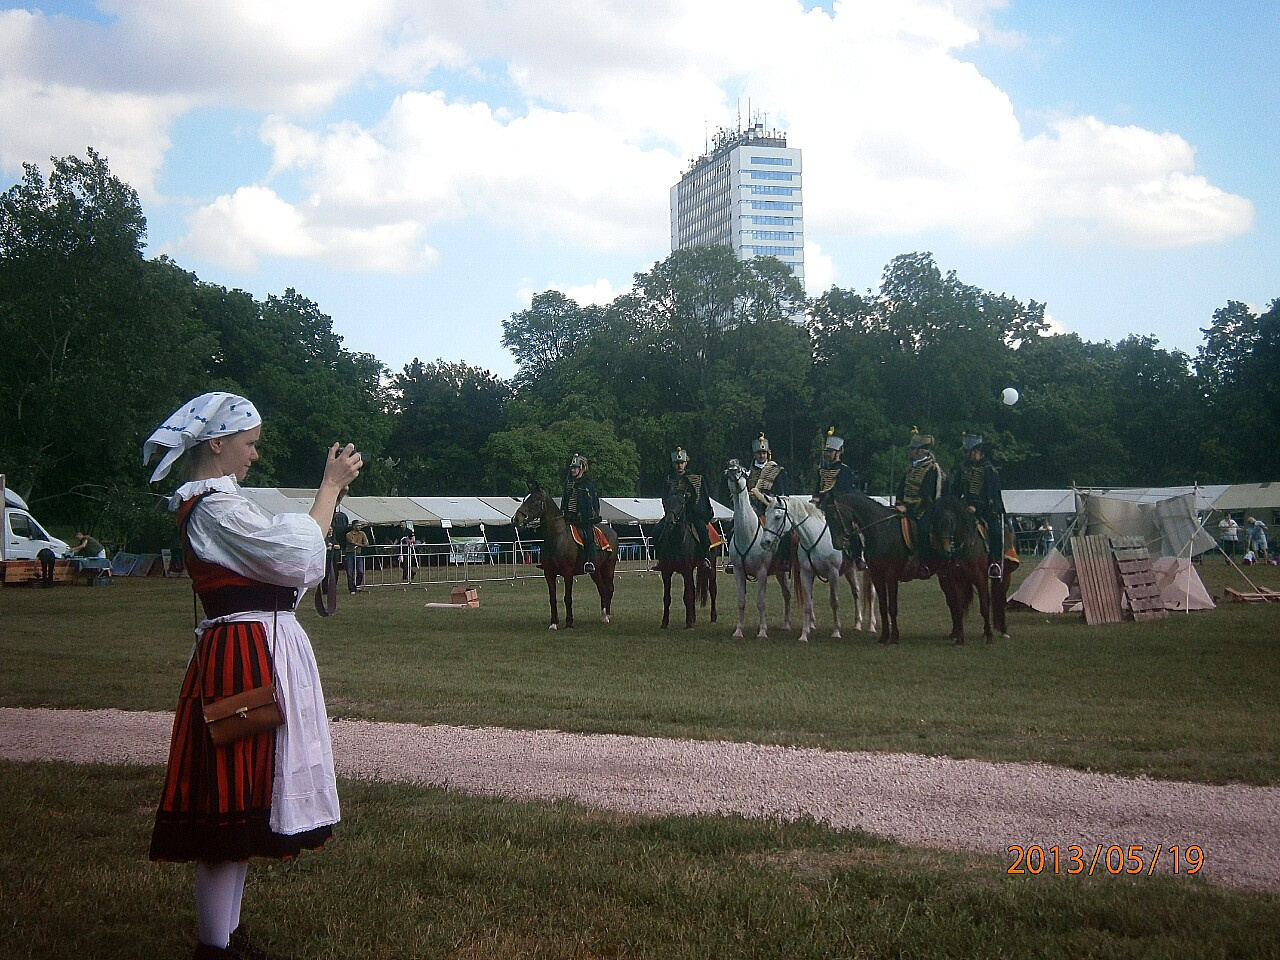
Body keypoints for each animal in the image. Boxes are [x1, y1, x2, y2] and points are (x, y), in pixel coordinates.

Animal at [517, 481, 622, 632]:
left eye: (536, 499)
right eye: (525, 498)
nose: (516, 519)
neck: (557, 537)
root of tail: (612, 532)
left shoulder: (568, 573)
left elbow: (567, 597)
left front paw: (569, 623)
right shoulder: (549, 574)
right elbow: (552, 598)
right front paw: (553, 623)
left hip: (608, 567)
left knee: (609, 588)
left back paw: (607, 616)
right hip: (595, 571)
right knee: (602, 589)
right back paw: (603, 616)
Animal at [655, 488, 716, 632]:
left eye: (682, 503)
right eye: (667, 503)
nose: (669, 521)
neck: (676, 541)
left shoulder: (687, 570)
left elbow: (688, 595)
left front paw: (689, 624)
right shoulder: (666, 572)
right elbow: (667, 597)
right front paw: (664, 623)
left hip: (712, 569)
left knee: (712, 590)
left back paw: (713, 618)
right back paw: (694, 617)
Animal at [721, 458, 788, 640]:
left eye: (740, 470)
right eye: (728, 471)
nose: (733, 475)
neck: (747, 533)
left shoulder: (762, 572)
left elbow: (761, 602)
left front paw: (762, 631)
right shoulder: (738, 572)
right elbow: (741, 601)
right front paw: (738, 631)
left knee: (788, 594)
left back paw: (787, 624)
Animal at [762, 499, 875, 642]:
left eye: (777, 517)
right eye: (766, 514)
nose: (765, 542)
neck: (814, 539)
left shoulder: (833, 574)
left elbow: (834, 602)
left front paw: (836, 632)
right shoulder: (806, 573)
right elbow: (807, 604)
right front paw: (804, 634)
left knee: (871, 594)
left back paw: (871, 626)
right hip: (850, 570)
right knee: (857, 592)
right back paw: (857, 624)